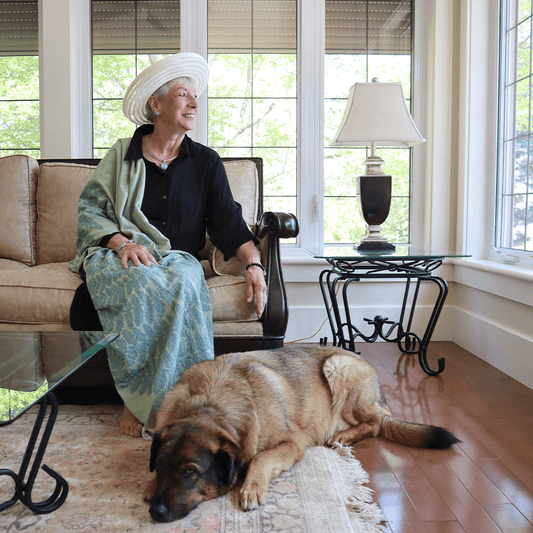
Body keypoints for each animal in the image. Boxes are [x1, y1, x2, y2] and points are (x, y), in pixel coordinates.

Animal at [144, 342, 458, 520]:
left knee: (378, 422)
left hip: (338, 368)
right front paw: (149, 485)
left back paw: (344, 435)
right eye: (160, 466)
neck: (210, 406)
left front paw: (251, 487)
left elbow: (261, 459)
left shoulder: (293, 443)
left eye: (190, 472)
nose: (154, 513)